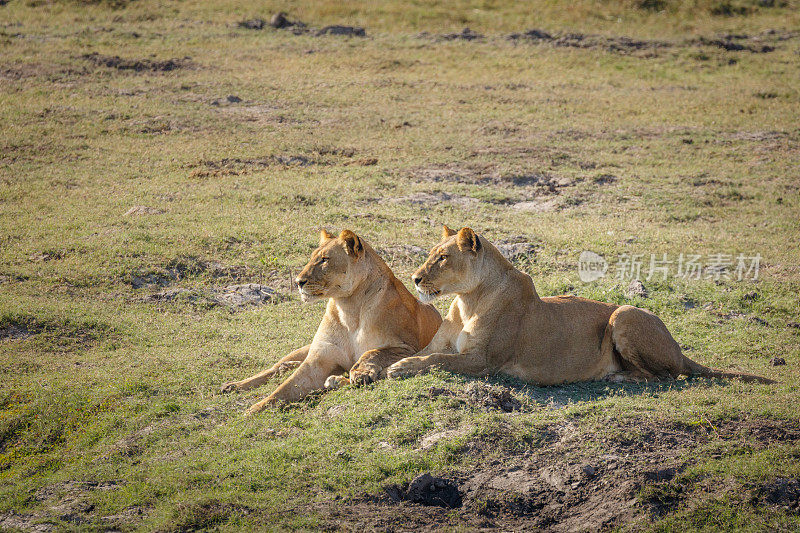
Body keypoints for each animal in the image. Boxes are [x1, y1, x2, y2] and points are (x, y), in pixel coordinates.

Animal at [222, 228, 440, 412]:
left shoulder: (407, 348)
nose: (298, 282)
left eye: (324, 260)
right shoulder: (319, 358)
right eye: (312, 258)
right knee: (274, 368)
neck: (349, 308)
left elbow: (373, 352)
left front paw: (360, 372)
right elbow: (285, 388)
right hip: (303, 349)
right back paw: (234, 385)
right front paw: (255, 410)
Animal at [388, 227, 776, 384]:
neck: (467, 299)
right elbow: (423, 353)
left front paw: (401, 368)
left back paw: (618, 377)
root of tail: (680, 349)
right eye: (430, 254)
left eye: (442, 258)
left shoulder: (484, 362)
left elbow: (436, 361)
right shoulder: (441, 344)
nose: (415, 278)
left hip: (624, 314)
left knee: (663, 375)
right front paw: (383, 367)